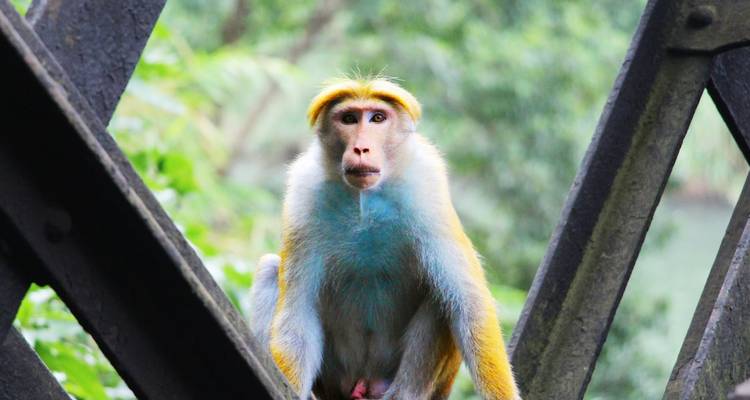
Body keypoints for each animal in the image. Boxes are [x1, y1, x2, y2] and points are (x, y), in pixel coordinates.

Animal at [249, 77, 521, 400]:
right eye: (349, 118)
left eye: (378, 118)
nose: (361, 148)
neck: (364, 199)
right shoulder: (303, 196)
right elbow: (296, 317)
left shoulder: (427, 188)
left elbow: (469, 304)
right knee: (270, 269)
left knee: (442, 295)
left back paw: (403, 393)